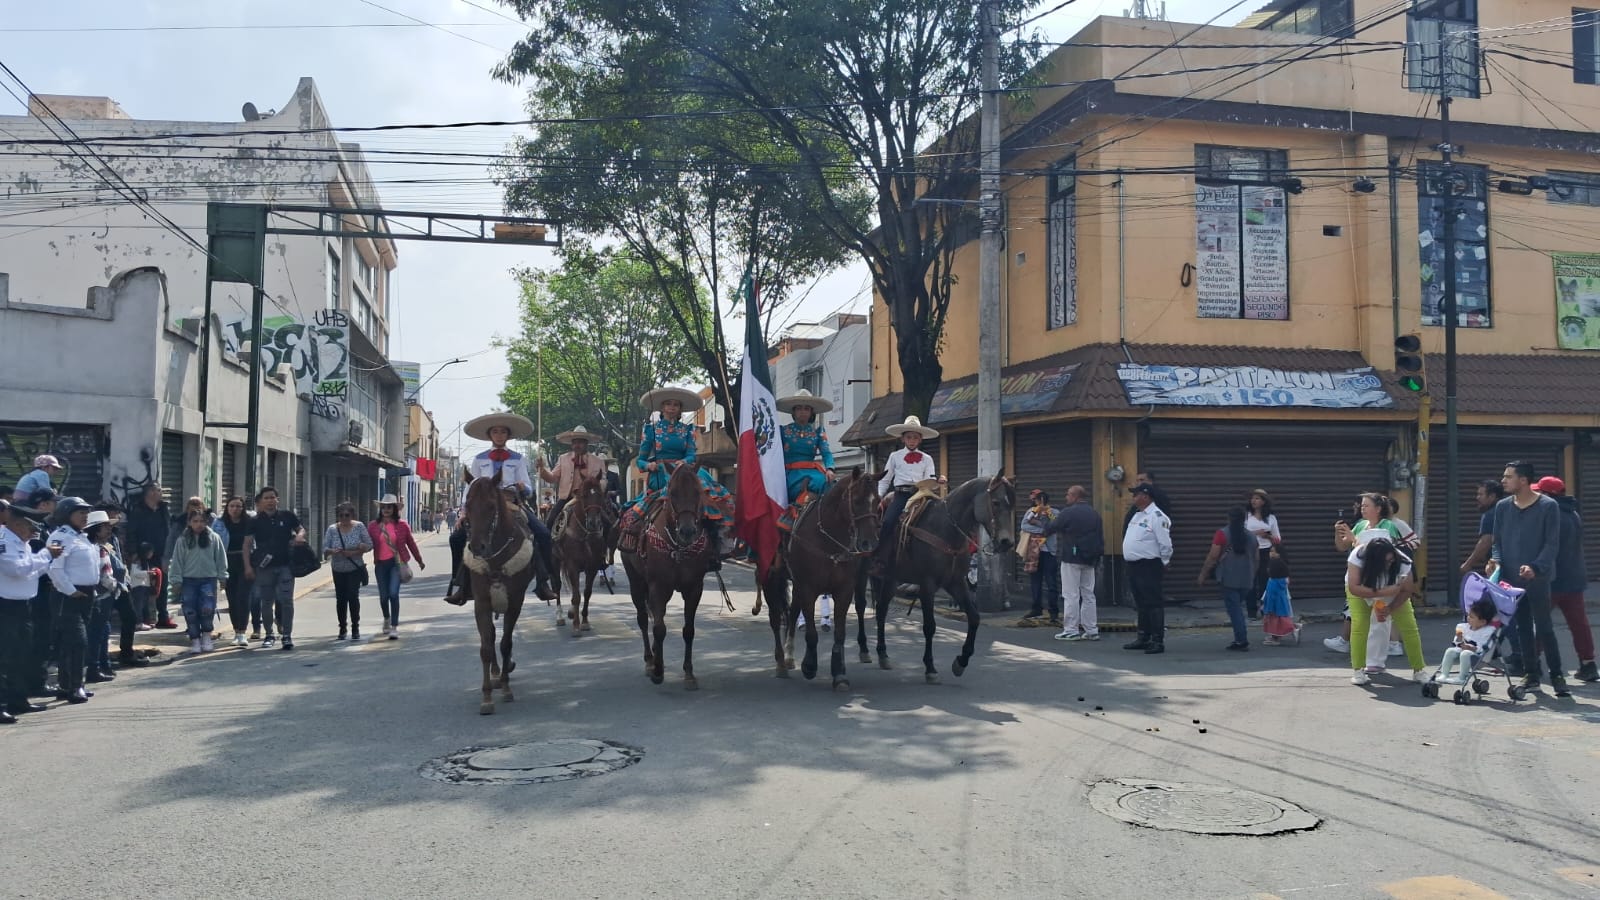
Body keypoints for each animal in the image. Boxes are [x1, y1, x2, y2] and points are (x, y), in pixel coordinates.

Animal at [457, 470, 537, 714]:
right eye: (468, 504)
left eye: (492, 505)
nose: (477, 547)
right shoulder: (481, 602)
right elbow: (485, 646)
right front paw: (487, 698)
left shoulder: (515, 602)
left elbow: (506, 643)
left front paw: (506, 688)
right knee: (491, 636)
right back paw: (494, 674)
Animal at [560, 470, 614, 630]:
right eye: (584, 495)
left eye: (600, 494)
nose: (593, 523)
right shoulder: (572, 565)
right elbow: (577, 595)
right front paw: (576, 625)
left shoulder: (593, 566)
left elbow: (586, 593)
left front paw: (584, 621)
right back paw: (560, 617)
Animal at [617, 461, 713, 685]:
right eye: (672, 493)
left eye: (698, 492)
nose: (687, 531)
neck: (678, 547)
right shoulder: (658, 587)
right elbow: (659, 629)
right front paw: (658, 671)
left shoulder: (694, 588)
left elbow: (688, 630)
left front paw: (689, 673)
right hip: (636, 580)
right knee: (644, 618)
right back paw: (649, 659)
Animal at [758, 470, 883, 685]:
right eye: (856, 501)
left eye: (878, 501)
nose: (869, 543)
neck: (828, 538)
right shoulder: (808, 588)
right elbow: (811, 633)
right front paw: (809, 665)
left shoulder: (844, 589)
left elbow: (840, 633)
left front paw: (839, 672)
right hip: (770, 577)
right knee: (775, 617)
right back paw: (781, 662)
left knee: (792, 612)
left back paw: (789, 656)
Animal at [870, 470, 1017, 679]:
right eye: (996, 502)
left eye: (1011, 504)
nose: (1007, 542)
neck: (945, 529)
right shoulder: (927, 585)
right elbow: (929, 626)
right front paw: (930, 667)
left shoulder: (955, 582)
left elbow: (974, 617)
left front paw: (961, 661)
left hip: (891, 578)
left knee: (881, 610)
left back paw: (882, 655)